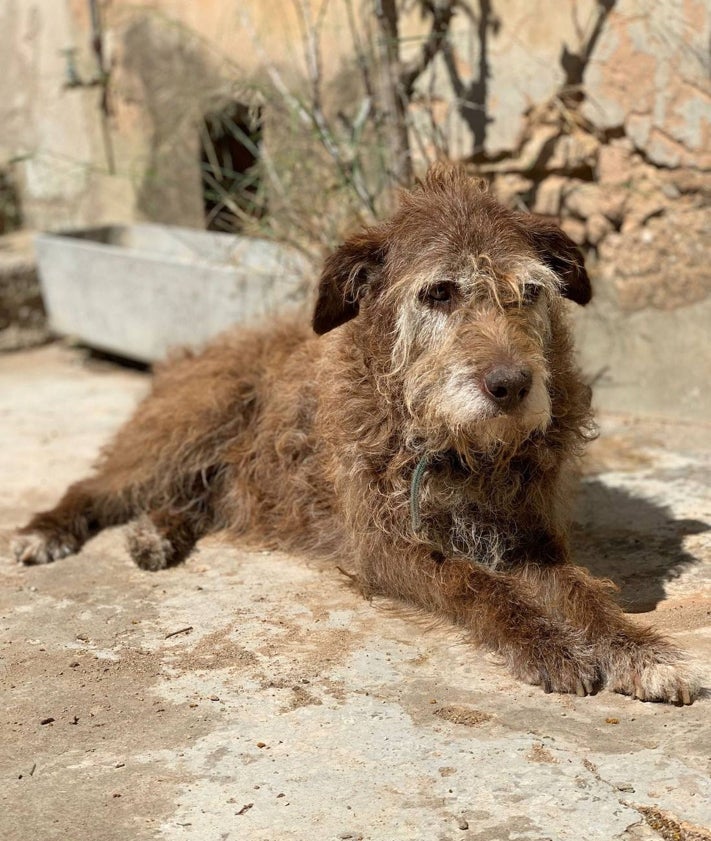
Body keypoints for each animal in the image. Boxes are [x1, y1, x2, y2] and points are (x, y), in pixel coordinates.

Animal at [12, 164, 700, 704]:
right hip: (182, 433)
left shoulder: (529, 535)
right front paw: (547, 644)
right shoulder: (383, 546)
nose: (510, 385)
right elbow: (478, 585)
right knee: (95, 486)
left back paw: (156, 532)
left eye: (530, 290)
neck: (457, 446)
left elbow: (582, 592)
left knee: (198, 499)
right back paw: (50, 531)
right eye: (439, 292)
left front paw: (637, 649)